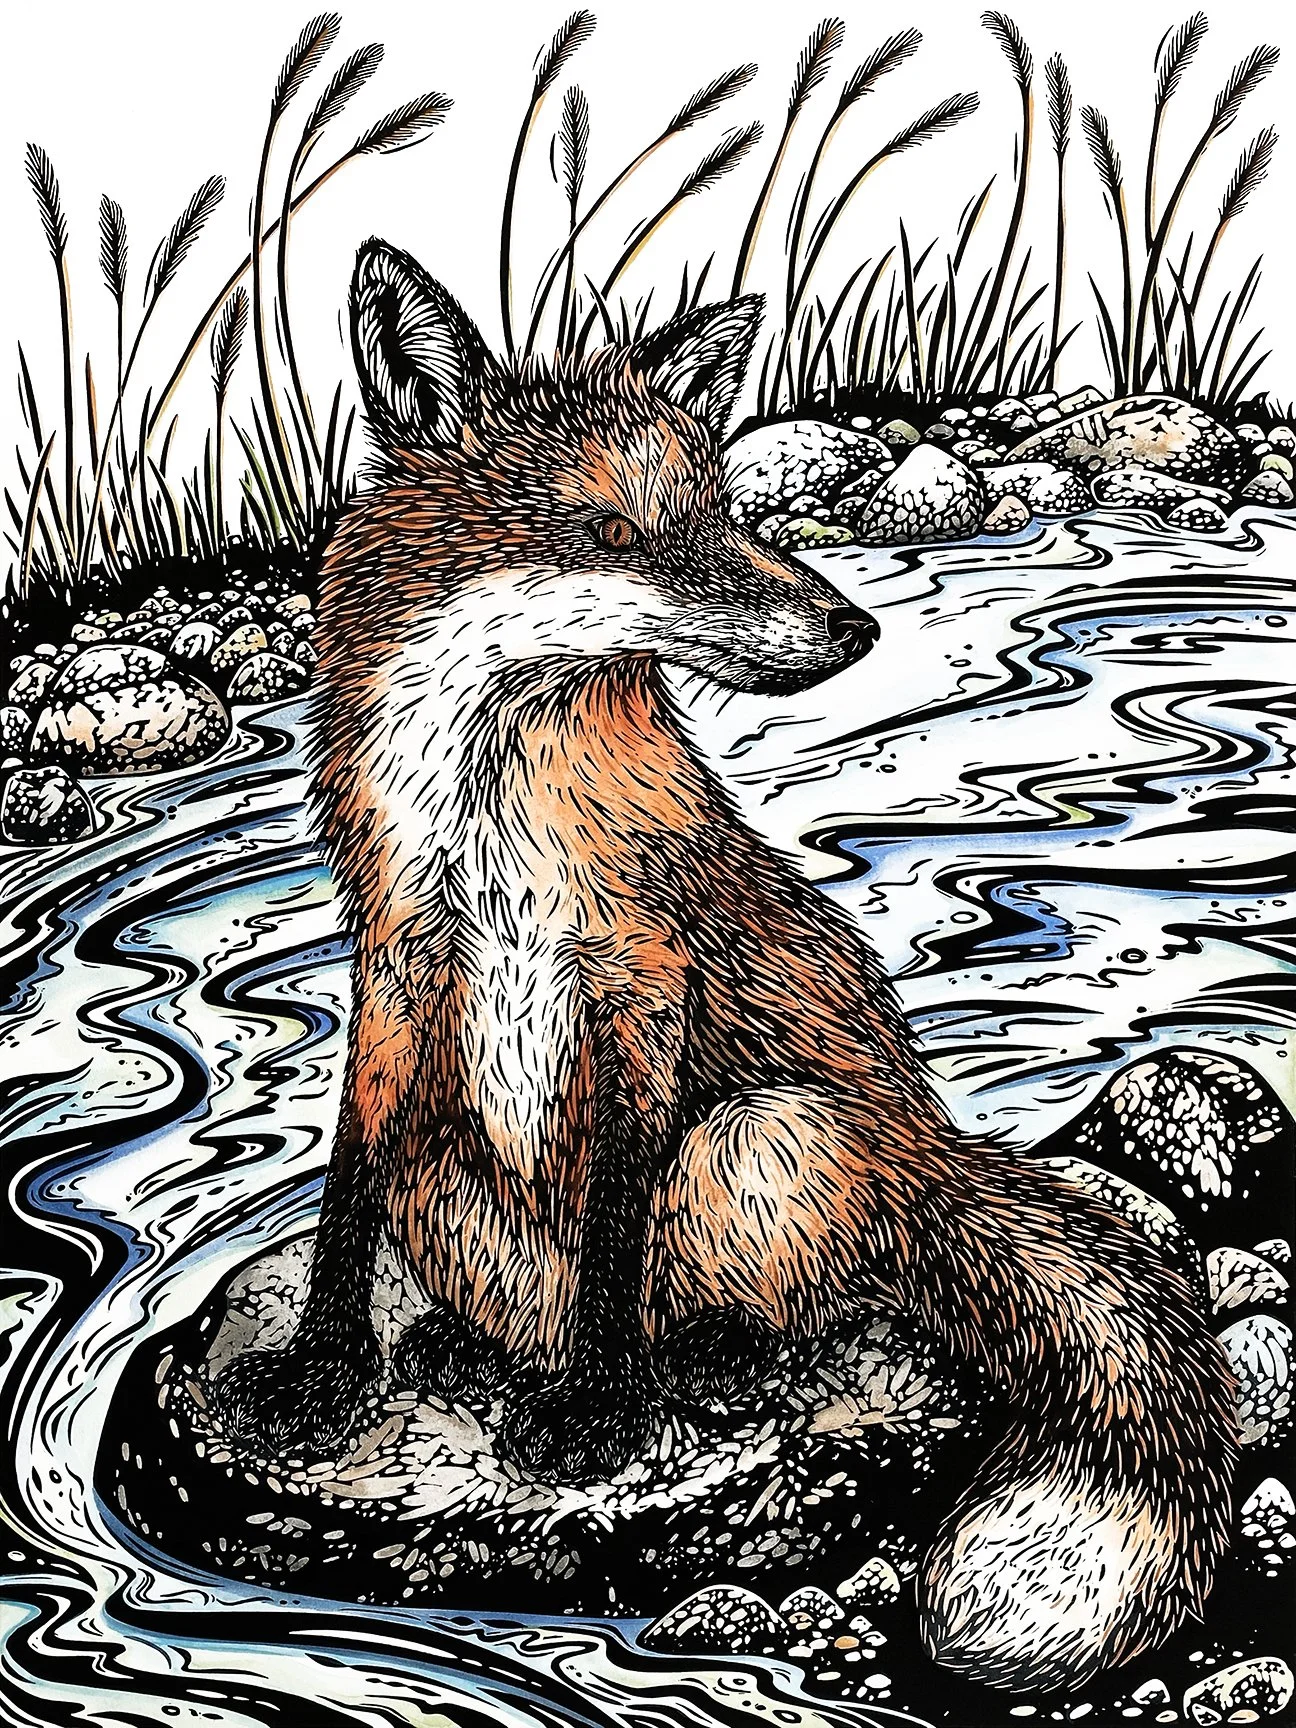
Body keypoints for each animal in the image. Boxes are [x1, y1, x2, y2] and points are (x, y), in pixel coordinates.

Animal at [217, 238, 1238, 1694]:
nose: (852, 628)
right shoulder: (398, 959)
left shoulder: (638, 976)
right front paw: (324, 1371)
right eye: (615, 535)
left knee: (781, 1301)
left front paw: (596, 1411)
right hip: (457, 1161)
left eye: (721, 506)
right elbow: (347, 1191)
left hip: (766, 1131)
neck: (486, 807)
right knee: (493, 1276)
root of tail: (925, 1144)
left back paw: (699, 1363)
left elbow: (616, 1220)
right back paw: (462, 1349)